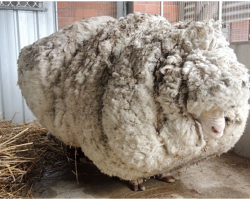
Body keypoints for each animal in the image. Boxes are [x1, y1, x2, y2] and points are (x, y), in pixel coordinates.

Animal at [18, 12, 250, 191]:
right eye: (189, 86)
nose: (218, 130)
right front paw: (137, 182)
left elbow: (159, 166)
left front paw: (164, 176)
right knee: (67, 140)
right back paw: (74, 156)